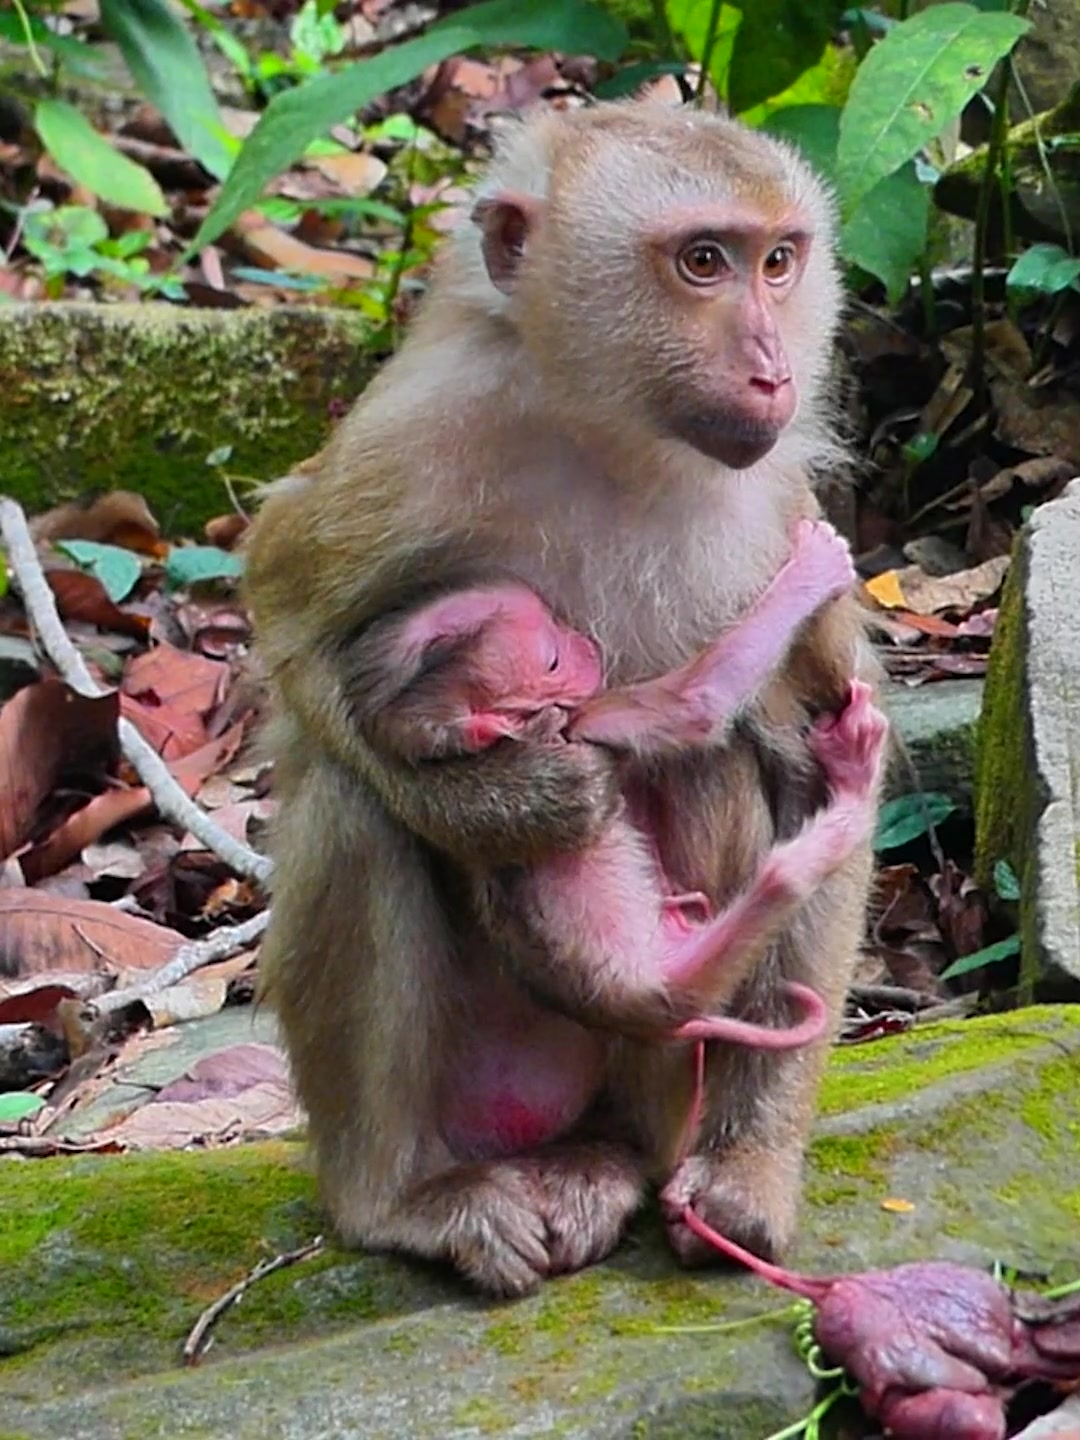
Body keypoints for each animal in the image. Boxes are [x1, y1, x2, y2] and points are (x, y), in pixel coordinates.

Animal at [245, 99, 887, 1297]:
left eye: (779, 261)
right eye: (701, 262)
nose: (773, 366)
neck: (615, 439)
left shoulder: (776, 494)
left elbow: (814, 752)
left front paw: (753, 1168)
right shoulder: (407, 448)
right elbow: (292, 630)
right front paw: (508, 807)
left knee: (729, 777)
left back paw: (614, 1158)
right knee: (354, 809)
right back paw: (399, 1200)